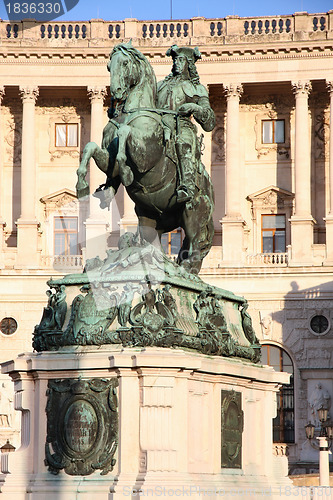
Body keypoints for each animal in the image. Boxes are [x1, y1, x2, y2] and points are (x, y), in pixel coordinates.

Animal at [76, 43, 213, 274]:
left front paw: (126, 170)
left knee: (195, 244)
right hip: (148, 216)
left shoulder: (145, 155)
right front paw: (82, 184)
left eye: (125, 63)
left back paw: (185, 269)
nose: (116, 93)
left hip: (193, 210)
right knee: (154, 242)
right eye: (108, 66)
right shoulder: (108, 160)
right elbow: (91, 147)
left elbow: (125, 134)